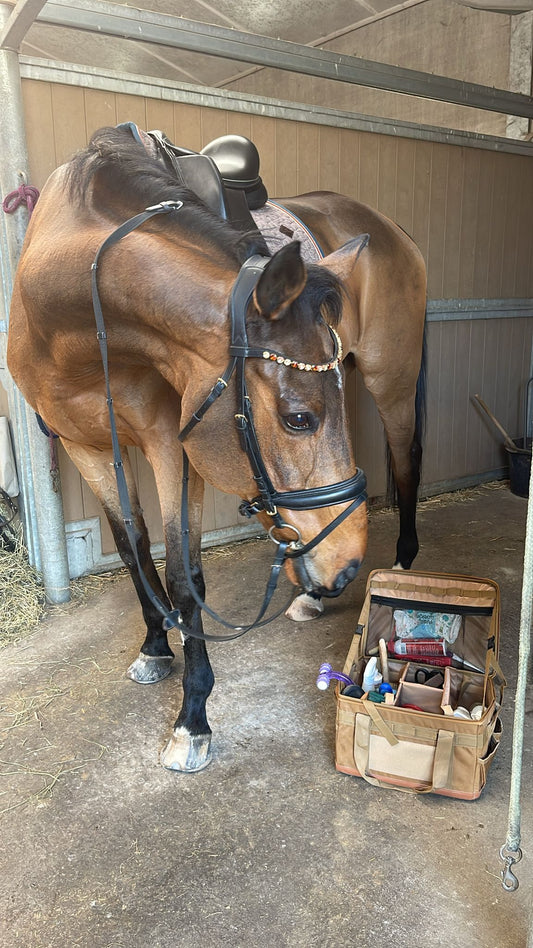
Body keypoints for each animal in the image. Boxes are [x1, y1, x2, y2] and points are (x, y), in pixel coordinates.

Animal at [7, 124, 425, 772]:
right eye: (299, 418)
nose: (349, 563)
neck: (66, 320)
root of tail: (390, 227)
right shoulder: (86, 446)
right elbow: (132, 546)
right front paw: (156, 647)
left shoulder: (169, 447)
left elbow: (186, 576)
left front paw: (192, 718)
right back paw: (314, 593)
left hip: (391, 379)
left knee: (406, 464)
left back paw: (397, 566)